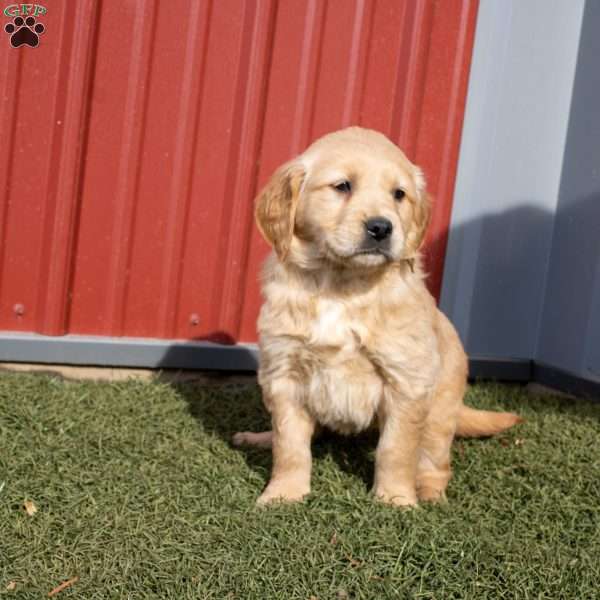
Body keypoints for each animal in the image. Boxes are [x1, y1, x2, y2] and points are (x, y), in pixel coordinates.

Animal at [234, 126, 520, 506]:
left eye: (399, 194)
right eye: (342, 186)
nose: (382, 228)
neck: (340, 284)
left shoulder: (405, 381)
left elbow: (395, 449)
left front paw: (396, 500)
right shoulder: (284, 374)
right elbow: (290, 445)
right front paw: (283, 494)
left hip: (440, 411)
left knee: (434, 460)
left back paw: (429, 493)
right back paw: (257, 438)